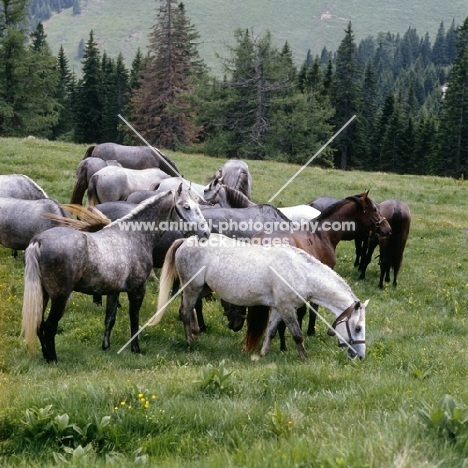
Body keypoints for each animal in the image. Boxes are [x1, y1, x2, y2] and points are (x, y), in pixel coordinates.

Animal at [21, 186, 208, 362]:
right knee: (49, 326)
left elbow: (110, 318)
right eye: (186, 206)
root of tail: (38, 241)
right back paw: (52, 359)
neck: (134, 236)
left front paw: (106, 346)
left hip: (44, 295)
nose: (205, 232)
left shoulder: (113, 291)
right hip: (60, 297)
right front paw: (136, 349)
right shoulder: (137, 290)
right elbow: (134, 319)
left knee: (39, 325)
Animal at [152, 233, 368, 358]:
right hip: (192, 287)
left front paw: (263, 353)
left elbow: (271, 331)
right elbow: (297, 335)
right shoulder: (287, 308)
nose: (360, 356)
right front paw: (304, 358)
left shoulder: (279, 307)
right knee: (185, 312)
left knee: (189, 310)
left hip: (200, 289)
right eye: (358, 328)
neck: (301, 271)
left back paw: (195, 335)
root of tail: (186, 240)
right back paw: (190, 342)